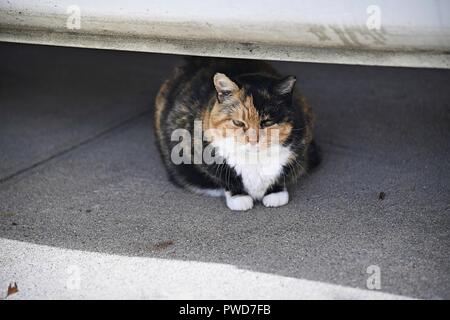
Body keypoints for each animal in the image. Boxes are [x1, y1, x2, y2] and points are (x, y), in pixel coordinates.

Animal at [155, 58, 320, 211]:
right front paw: (239, 198)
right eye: (238, 123)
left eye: (267, 122)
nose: (253, 140)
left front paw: (275, 193)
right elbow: (224, 177)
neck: (254, 160)